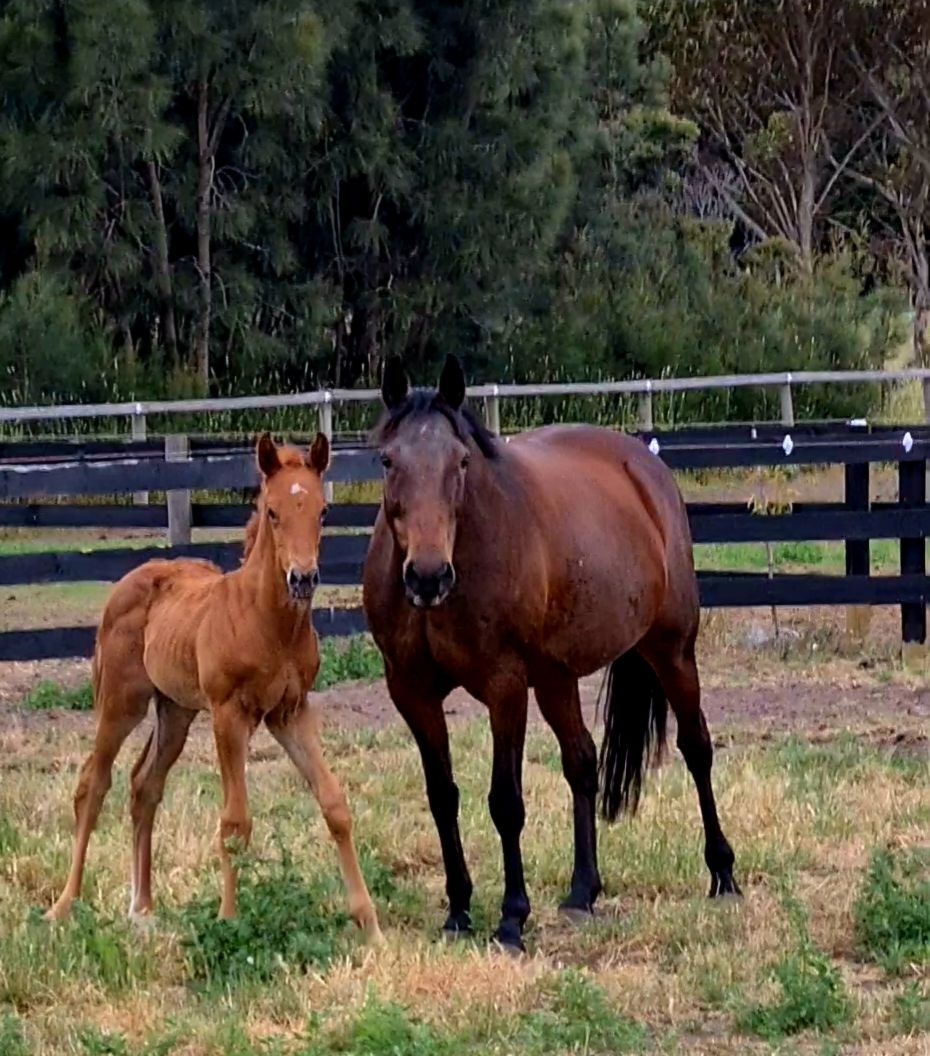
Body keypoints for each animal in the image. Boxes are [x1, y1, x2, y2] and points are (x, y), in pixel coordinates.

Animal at [47, 433, 381, 944]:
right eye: (272, 511)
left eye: (323, 511)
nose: (303, 578)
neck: (269, 623)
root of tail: (130, 579)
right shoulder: (229, 714)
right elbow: (234, 821)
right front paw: (228, 919)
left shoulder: (291, 712)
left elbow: (334, 803)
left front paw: (369, 922)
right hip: (122, 701)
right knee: (92, 784)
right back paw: (64, 905)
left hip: (176, 711)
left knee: (145, 785)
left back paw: (142, 908)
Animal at [362, 355, 739, 952]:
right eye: (387, 460)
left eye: (461, 461)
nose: (426, 576)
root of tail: (645, 468)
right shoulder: (411, 691)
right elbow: (442, 795)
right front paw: (459, 909)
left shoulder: (505, 686)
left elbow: (505, 802)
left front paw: (512, 918)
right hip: (558, 678)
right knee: (582, 762)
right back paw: (583, 890)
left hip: (672, 650)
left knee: (696, 748)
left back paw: (722, 873)